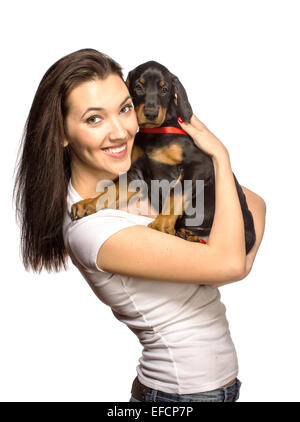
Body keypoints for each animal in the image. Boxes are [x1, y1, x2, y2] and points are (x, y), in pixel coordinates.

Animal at [71, 60, 255, 254]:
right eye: (138, 86)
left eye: (165, 89)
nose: (151, 113)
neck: (155, 133)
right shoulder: (135, 174)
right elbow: (112, 190)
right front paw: (88, 204)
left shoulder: (199, 165)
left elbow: (177, 191)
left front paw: (162, 223)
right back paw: (187, 235)